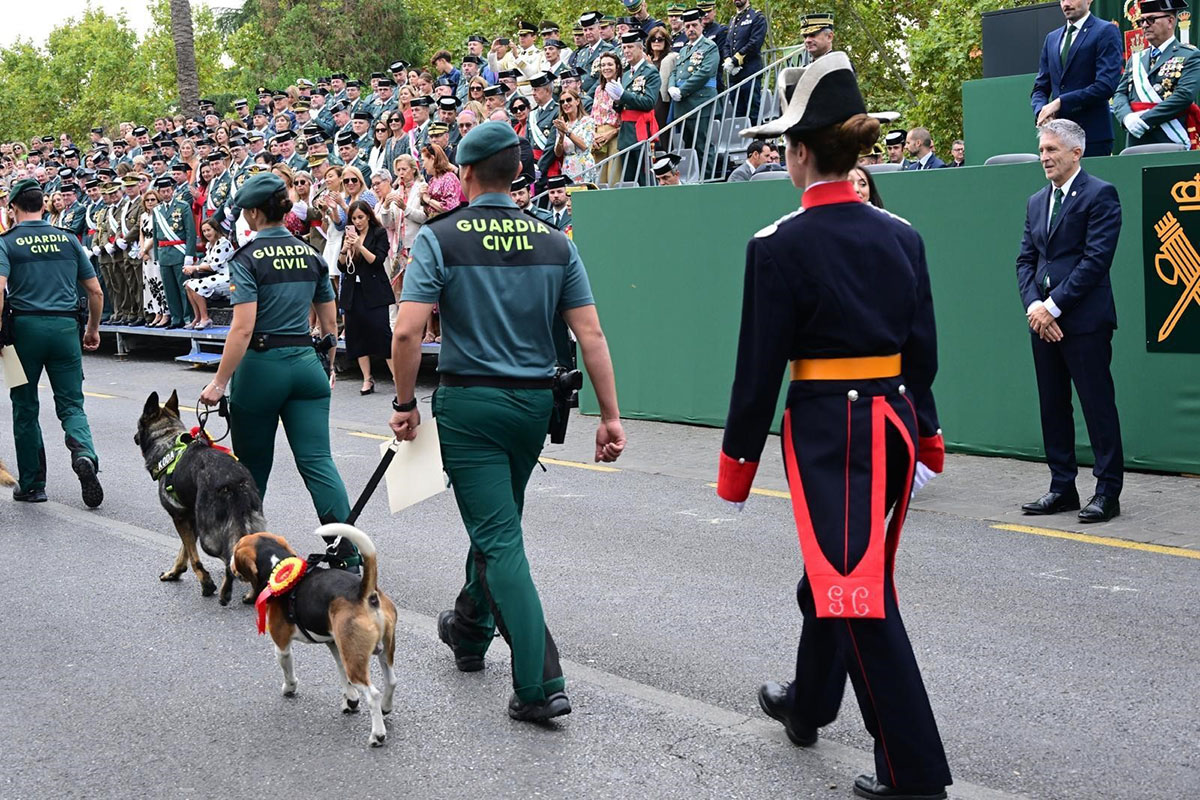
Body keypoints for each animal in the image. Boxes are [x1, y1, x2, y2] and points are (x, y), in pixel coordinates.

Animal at [136, 391, 267, 604]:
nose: (134, 437)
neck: (168, 441)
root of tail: (234, 481)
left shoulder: (180, 518)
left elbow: (193, 557)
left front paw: (206, 583)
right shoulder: (190, 520)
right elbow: (184, 551)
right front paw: (175, 572)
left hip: (210, 539)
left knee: (230, 560)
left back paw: (226, 592)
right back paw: (252, 594)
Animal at [231, 522, 400, 748]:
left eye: (235, 549)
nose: (230, 564)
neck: (278, 564)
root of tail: (366, 593)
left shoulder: (282, 645)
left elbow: (288, 670)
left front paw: (289, 688)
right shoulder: (335, 644)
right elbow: (342, 674)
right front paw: (350, 700)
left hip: (356, 660)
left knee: (372, 694)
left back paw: (377, 735)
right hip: (378, 651)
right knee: (391, 681)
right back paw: (385, 708)